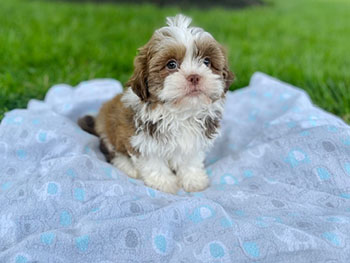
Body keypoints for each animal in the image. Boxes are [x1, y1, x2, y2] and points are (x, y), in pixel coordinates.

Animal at [79, 15, 232, 195]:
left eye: (207, 62)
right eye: (171, 64)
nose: (194, 76)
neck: (180, 113)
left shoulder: (194, 141)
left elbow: (190, 160)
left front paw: (194, 180)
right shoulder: (141, 140)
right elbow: (153, 162)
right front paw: (164, 183)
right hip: (108, 131)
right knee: (112, 152)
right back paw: (127, 167)